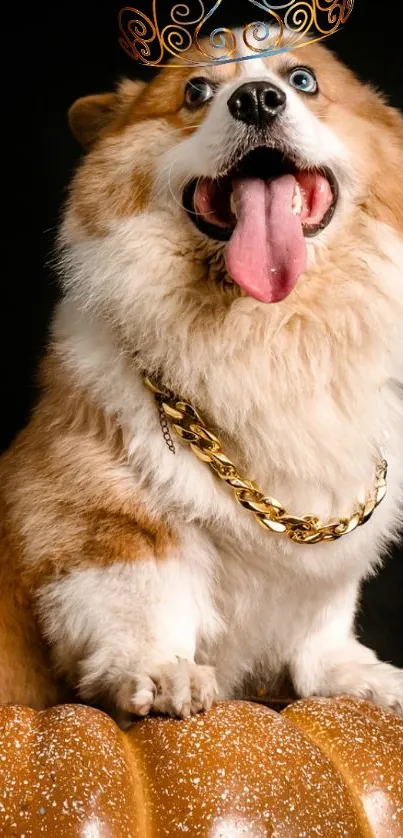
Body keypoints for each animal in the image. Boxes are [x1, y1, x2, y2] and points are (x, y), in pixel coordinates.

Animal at [0, 29, 403, 720]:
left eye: (303, 80)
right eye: (195, 91)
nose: (258, 99)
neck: (271, 333)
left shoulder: (333, 532)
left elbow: (322, 609)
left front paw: (355, 674)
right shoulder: (100, 507)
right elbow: (141, 591)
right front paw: (161, 670)